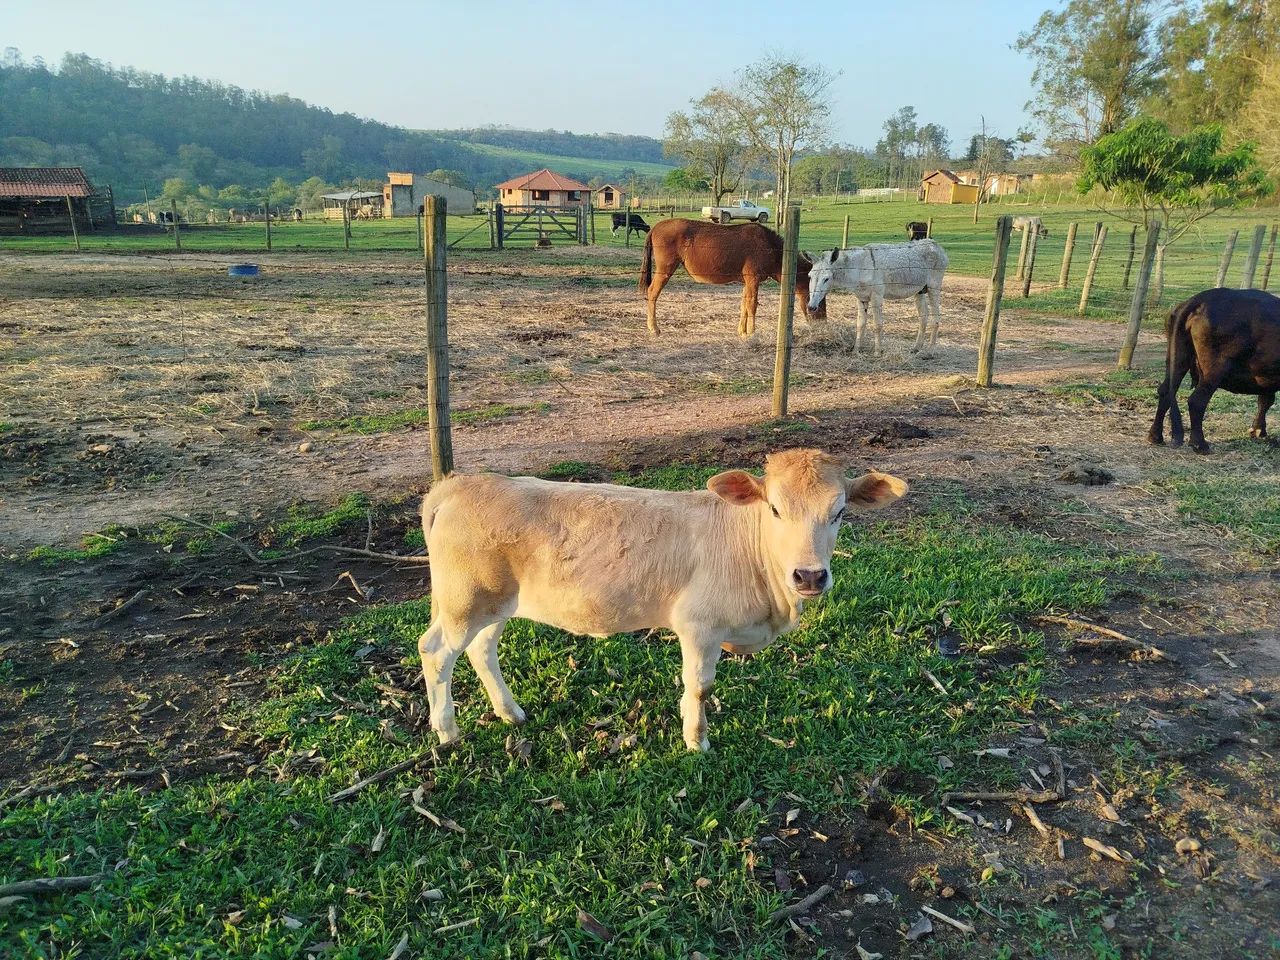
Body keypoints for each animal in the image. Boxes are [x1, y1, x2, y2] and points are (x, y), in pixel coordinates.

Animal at [416, 450, 908, 752]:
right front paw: (697, 740)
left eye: (840, 512)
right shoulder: (699, 626)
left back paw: (511, 712)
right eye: (774, 509)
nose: (809, 575)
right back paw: (447, 732)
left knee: (482, 649)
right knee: (436, 651)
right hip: (464, 601)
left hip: (494, 603)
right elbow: (700, 686)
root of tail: (459, 485)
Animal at [805, 240, 949, 355]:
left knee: (936, 318)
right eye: (809, 277)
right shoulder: (861, 298)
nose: (811, 307)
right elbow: (860, 324)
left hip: (933, 287)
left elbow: (877, 324)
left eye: (826, 279)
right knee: (923, 316)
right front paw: (856, 350)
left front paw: (878, 352)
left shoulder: (877, 296)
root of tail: (935, 244)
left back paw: (930, 351)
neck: (860, 267)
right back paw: (916, 348)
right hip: (920, 291)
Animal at [1148, 288, 1280, 453]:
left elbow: (1265, 400)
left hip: (1178, 359)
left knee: (1165, 391)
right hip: (1214, 370)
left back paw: (1155, 436)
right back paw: (1200, 444)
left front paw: (1258, 430)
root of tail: (1201, 298)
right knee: (1197, 401)